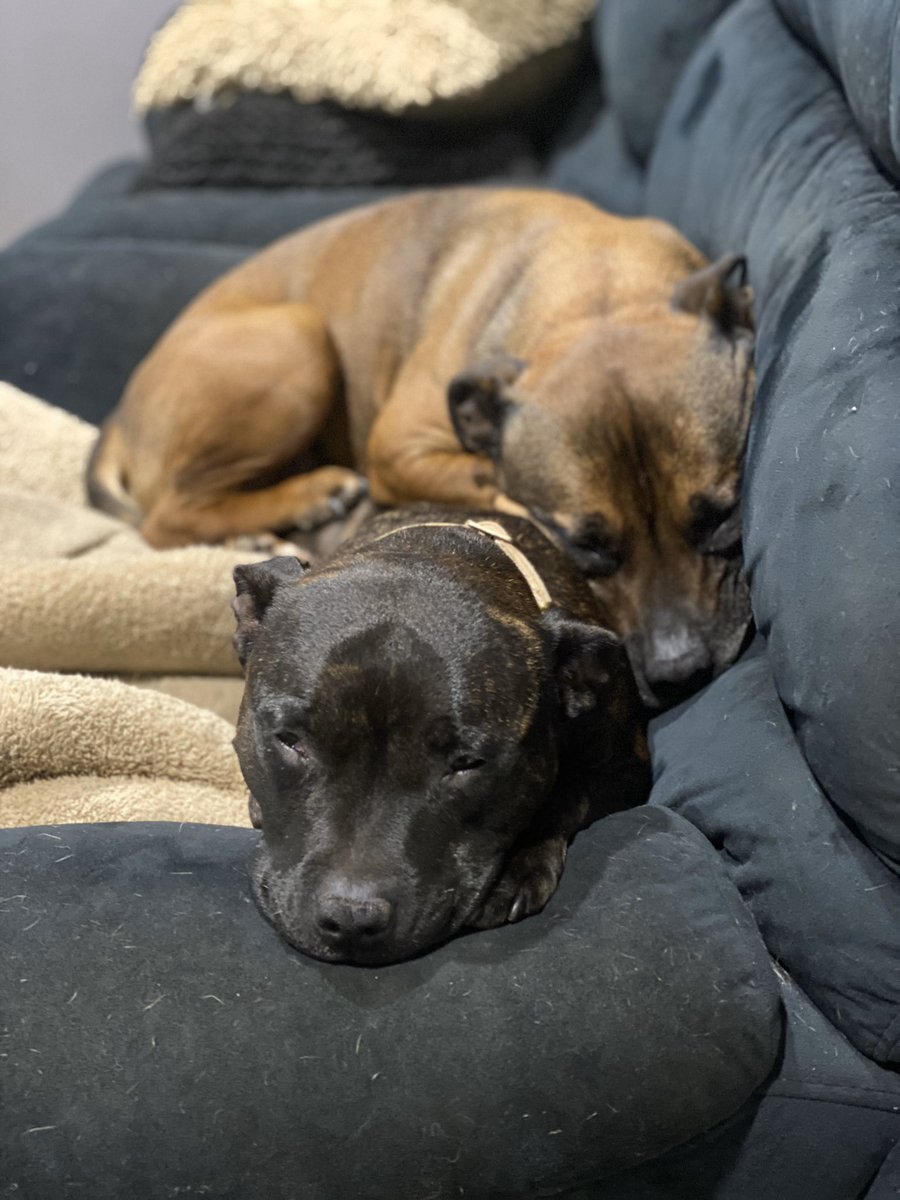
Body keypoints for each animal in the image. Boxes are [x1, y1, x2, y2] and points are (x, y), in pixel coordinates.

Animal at [90, 187, 753, 700]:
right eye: (584, 548)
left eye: (723, 519)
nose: (679, 669)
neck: (595, 293)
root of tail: (119, 416)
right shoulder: (399, 446)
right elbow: (489, 475)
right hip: (297, 339)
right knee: (165, 514)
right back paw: (308, 496)